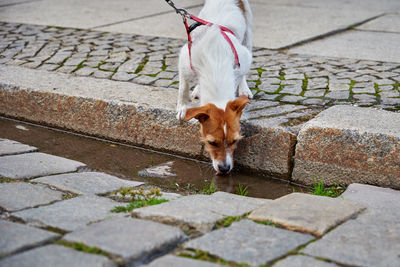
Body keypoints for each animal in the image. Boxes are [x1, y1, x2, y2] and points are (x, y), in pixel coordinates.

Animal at [176, 0, 253, 176]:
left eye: (235, 141)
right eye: (212, 143)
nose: (224, 169)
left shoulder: (243, 59)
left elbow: (239, 76)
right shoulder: (185, 61)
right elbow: (183, 87)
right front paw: (182, 107)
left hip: (247, 38)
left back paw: (244, 89)